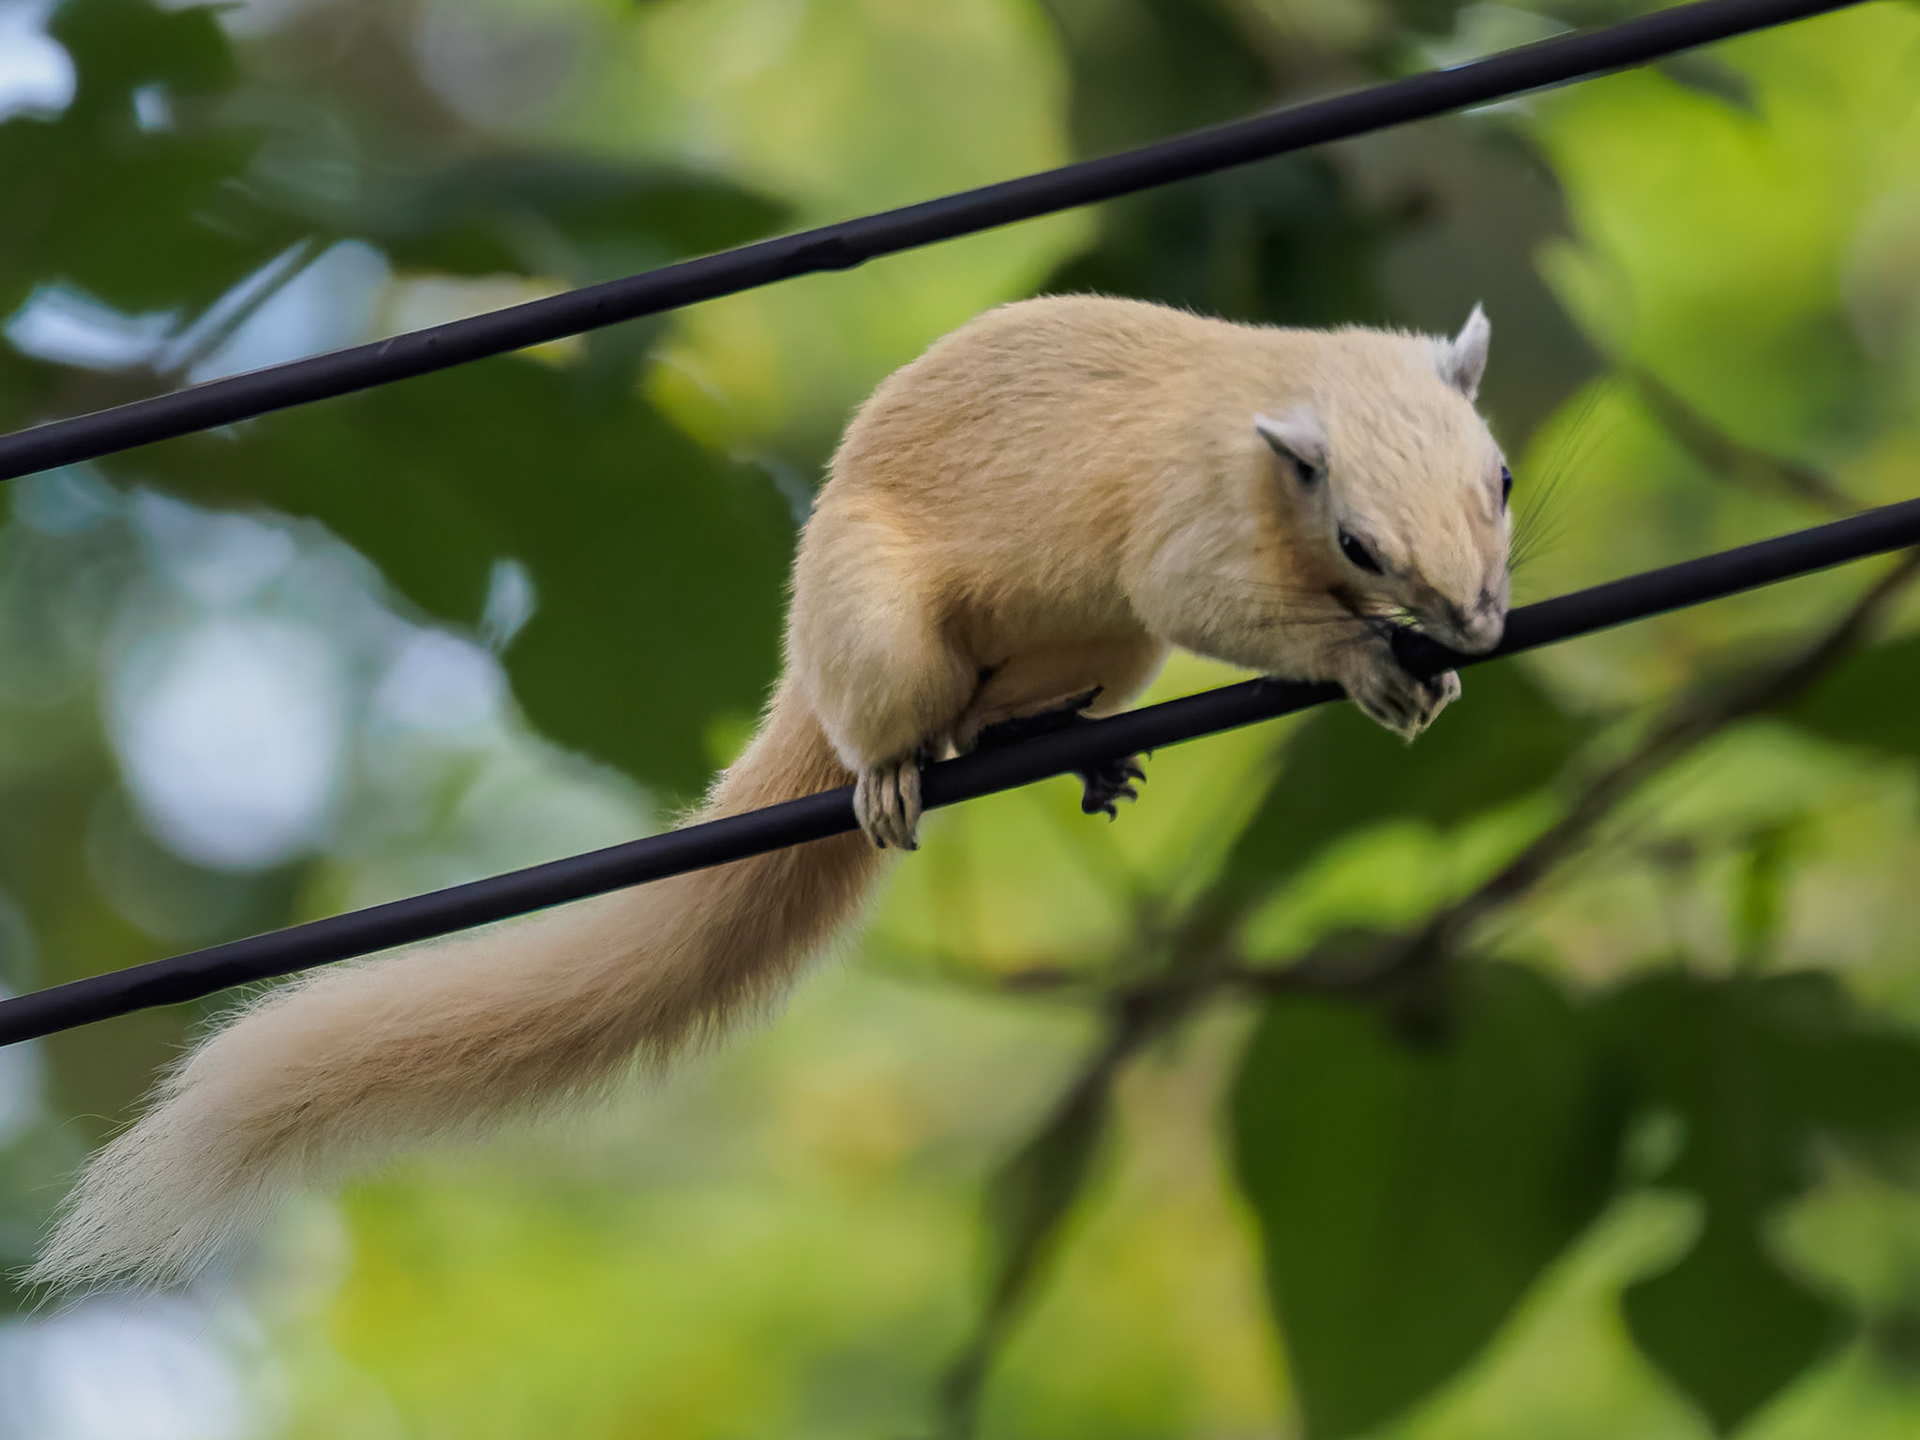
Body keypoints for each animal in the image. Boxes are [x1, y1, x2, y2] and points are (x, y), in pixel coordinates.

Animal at [33, 295, 1510, 1291]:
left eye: (1499, 477)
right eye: (1360, 539)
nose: (1481, 620)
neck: (1271, 405)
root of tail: (802, 663)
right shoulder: (1185, 530)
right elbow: (1222, 602)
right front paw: (1368, 666)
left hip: (1098, 642)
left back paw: (1073, 740)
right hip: (894, 629)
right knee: (907, 723)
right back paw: (896, 774)